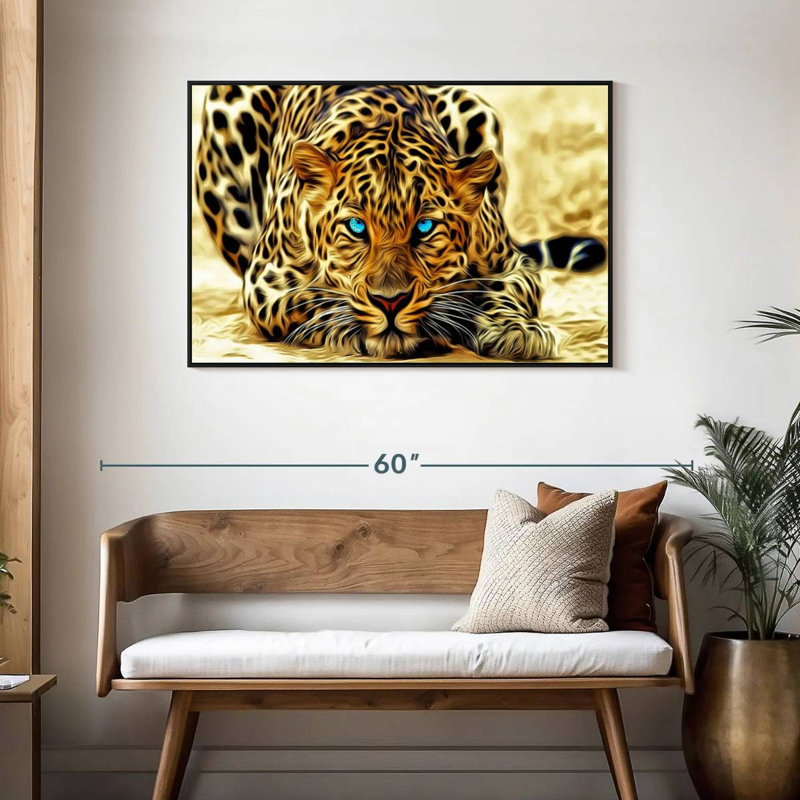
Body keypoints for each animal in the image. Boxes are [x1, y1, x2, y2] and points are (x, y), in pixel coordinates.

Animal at [194, 83, 606, 361]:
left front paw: (516, 329)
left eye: (425, 227)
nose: (389, 302)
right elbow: (314, 298)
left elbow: (505, 289)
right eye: (356, 228)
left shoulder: (512, 263)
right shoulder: (266, 281)